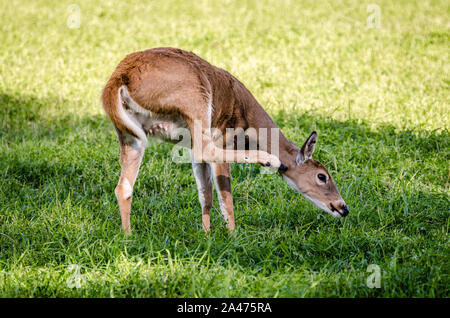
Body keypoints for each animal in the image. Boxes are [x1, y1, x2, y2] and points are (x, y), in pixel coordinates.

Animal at [101, 48, 348, 235]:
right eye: (322, 176)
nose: (343, 207)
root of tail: (119, 78)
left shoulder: (190, 147)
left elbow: (206, 195)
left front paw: (207, 234)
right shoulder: (222, 138)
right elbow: (225, 196)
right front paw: (233, 236)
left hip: (130, 135)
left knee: (123, 187)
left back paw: (128, 235)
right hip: (197, 99)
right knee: (207, 150)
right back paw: (270, 160)